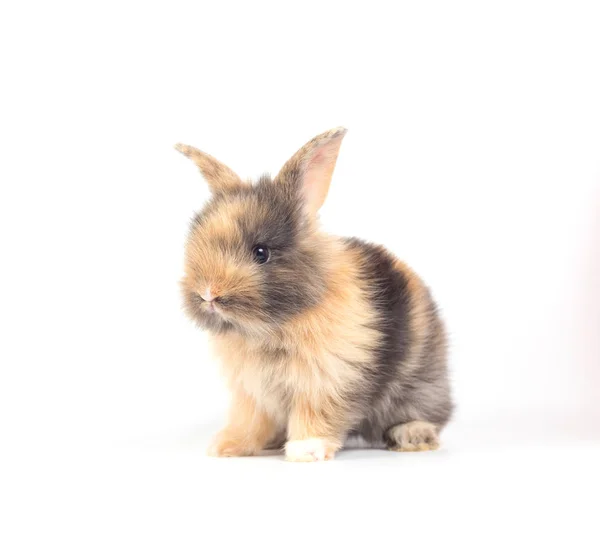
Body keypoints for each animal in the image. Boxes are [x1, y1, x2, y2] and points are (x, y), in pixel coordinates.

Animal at [176, 126, 452, 460]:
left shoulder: (327, 379)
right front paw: (226, 445)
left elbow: (315, 413)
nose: (208, 294)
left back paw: (410, 434)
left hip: (420, 383)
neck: (269, 328)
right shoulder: (252, 392)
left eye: (261, 252)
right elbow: (250, 421)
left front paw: (305, 449)